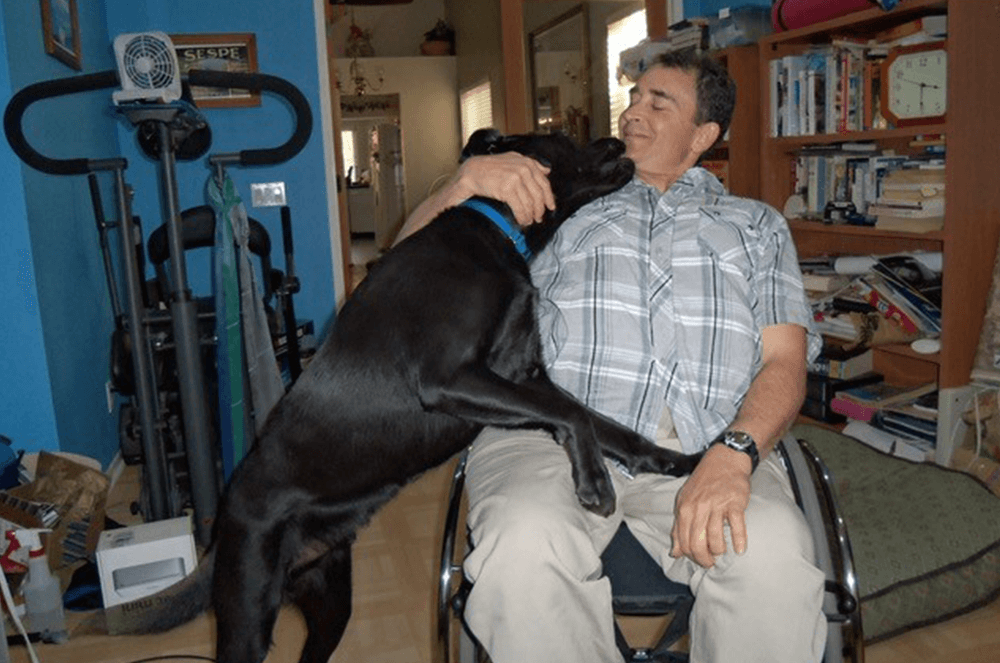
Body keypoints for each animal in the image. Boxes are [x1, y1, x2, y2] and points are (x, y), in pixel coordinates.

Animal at [113, 131, 700, 663]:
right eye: (560, 136)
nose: (618, 140)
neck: (496, 232)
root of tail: (222, 521)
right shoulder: (452, 378)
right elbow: (571, 413)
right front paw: (595, 482)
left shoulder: (525, 377)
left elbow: (598, 421)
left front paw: (674, 462)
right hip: (248, 612)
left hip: (331, 600)